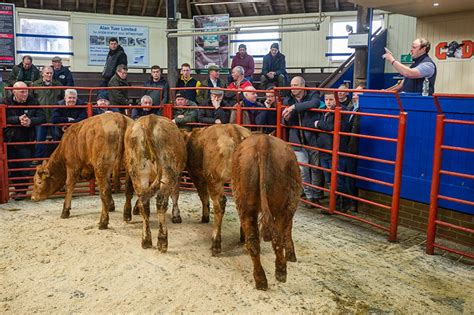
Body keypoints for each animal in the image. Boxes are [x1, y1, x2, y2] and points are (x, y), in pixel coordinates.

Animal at [123, 115, 186, 252]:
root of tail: (149, 119)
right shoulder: (177, 176)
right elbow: (175, 195)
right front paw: (176, 216)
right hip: (168, 173)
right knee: (161, 202)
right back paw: (162, 241)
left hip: (138, 173)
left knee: (144, 202)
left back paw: (146, 240)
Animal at [186, 123, 252, 256]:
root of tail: (232, 129)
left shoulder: (197, 177)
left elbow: (203, 197)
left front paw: (205, 216)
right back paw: (244, 238)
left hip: (215, 180)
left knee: (219, 204)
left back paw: (215, 243)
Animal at [231, 133, 302, 292]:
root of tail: (262, 141)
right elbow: (288, 229)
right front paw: (291, 254)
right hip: (283, 206)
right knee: (278, 237)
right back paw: (281, 271)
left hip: (246, 207)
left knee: (253, 242)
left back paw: (261, 280)